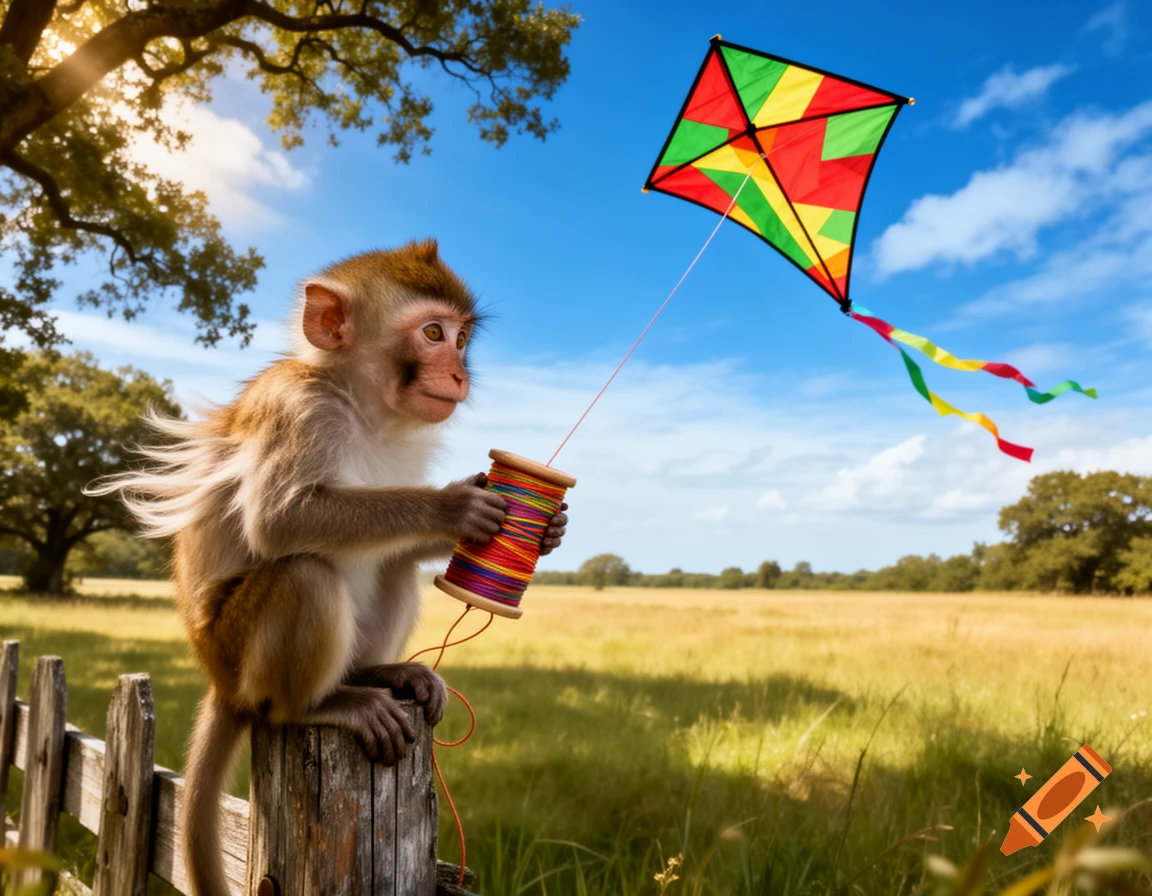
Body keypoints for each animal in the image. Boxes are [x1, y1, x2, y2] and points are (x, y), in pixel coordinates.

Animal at [87, 240, 569, 896]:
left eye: (463, 337)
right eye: (434, 333)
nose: (459, 373)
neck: (365, 408)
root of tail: (219, 680)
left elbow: (393, 550)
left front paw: (547, 527)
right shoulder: (300, 408)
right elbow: (282, 520)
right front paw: (455, 507)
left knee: (391, 566)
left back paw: (378, 673)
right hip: (239, 653)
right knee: (304, 576)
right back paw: (320, 705)